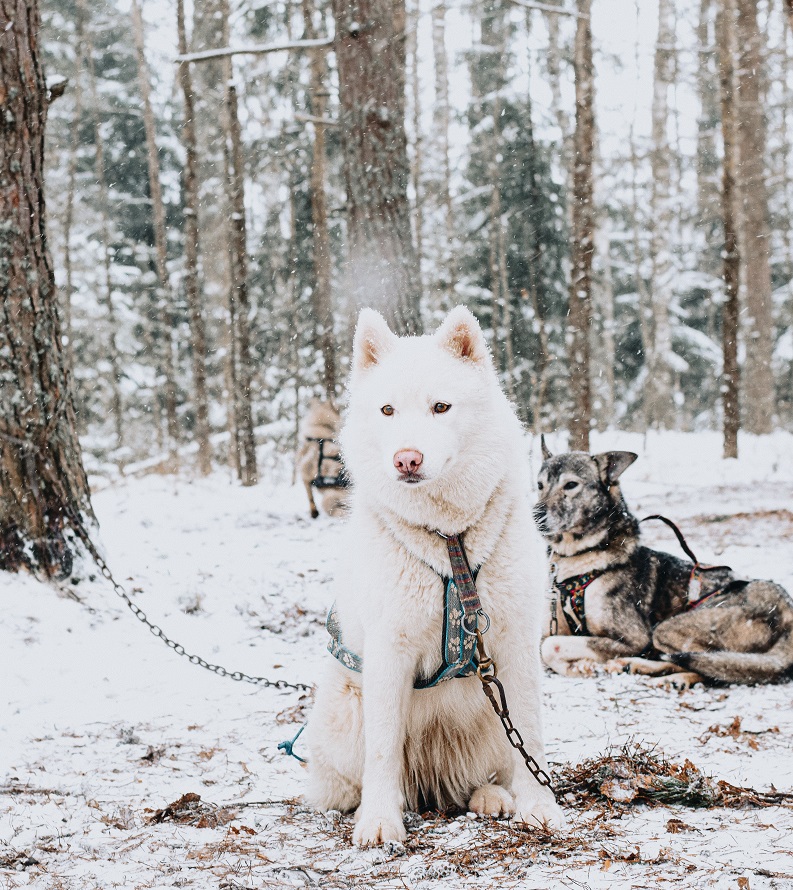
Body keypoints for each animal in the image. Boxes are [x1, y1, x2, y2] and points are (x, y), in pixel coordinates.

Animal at [304, 306, 564, 848]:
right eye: (387, 410)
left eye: (441, 407)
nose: (407, 458)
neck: (449, 541)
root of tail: (432, 783)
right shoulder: (388, 650)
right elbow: (383, 749)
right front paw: (380, 822)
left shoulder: (514, 643)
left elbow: (530, 735)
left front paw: (540, 808)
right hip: (346, 712)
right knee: (357, 778)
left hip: (489, 709)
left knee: (489, 768)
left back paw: (492, 796)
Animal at [532, 440, 792, 684]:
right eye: (540, 485)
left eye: (570, 485)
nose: (535, 515)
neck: (579, 561)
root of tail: (786, 606)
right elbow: (542, 643)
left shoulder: (633, 639)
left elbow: (550, 645)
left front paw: (577, 666)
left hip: (668, 628)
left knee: (708, 667)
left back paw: (660, 673)